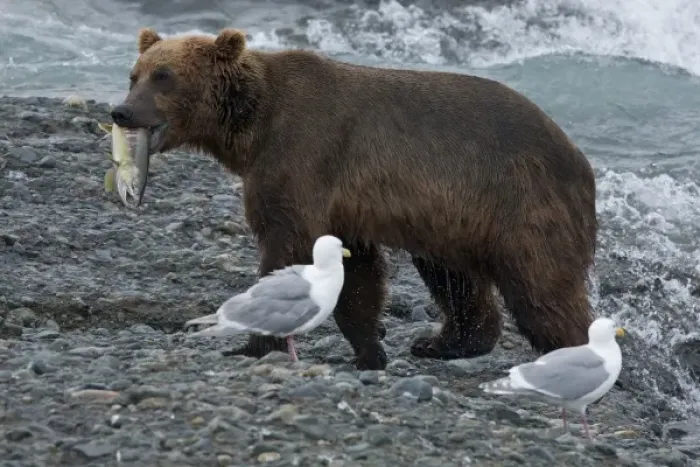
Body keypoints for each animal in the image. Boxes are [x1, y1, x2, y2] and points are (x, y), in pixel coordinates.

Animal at [109, 27, 598, 371]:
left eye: (164, 76)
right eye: (134, 75)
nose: (121, 110)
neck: (252, 125)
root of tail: (581, 159)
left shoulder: (301, 155)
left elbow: (288, 244)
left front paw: (252, 342)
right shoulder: (342, 204)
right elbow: (357, 274)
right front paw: (368, 350)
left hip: (519, 203)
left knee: (540, 288)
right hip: (455, 217)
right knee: (454, 277)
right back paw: (442, 342)